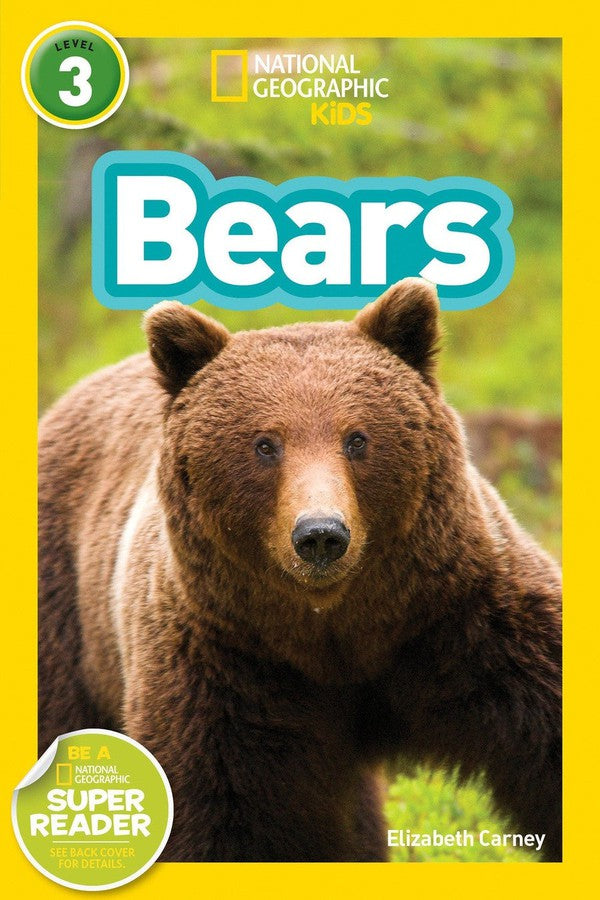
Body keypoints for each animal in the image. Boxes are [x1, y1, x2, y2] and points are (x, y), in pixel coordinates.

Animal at [38, 278, 562, 862]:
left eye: (357, 438)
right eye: (265, 444)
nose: (321, 535)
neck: (331, 630)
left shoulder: (464, 617)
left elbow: (547, 726)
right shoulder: (224, 667)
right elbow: (213, 814)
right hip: (64, 616)